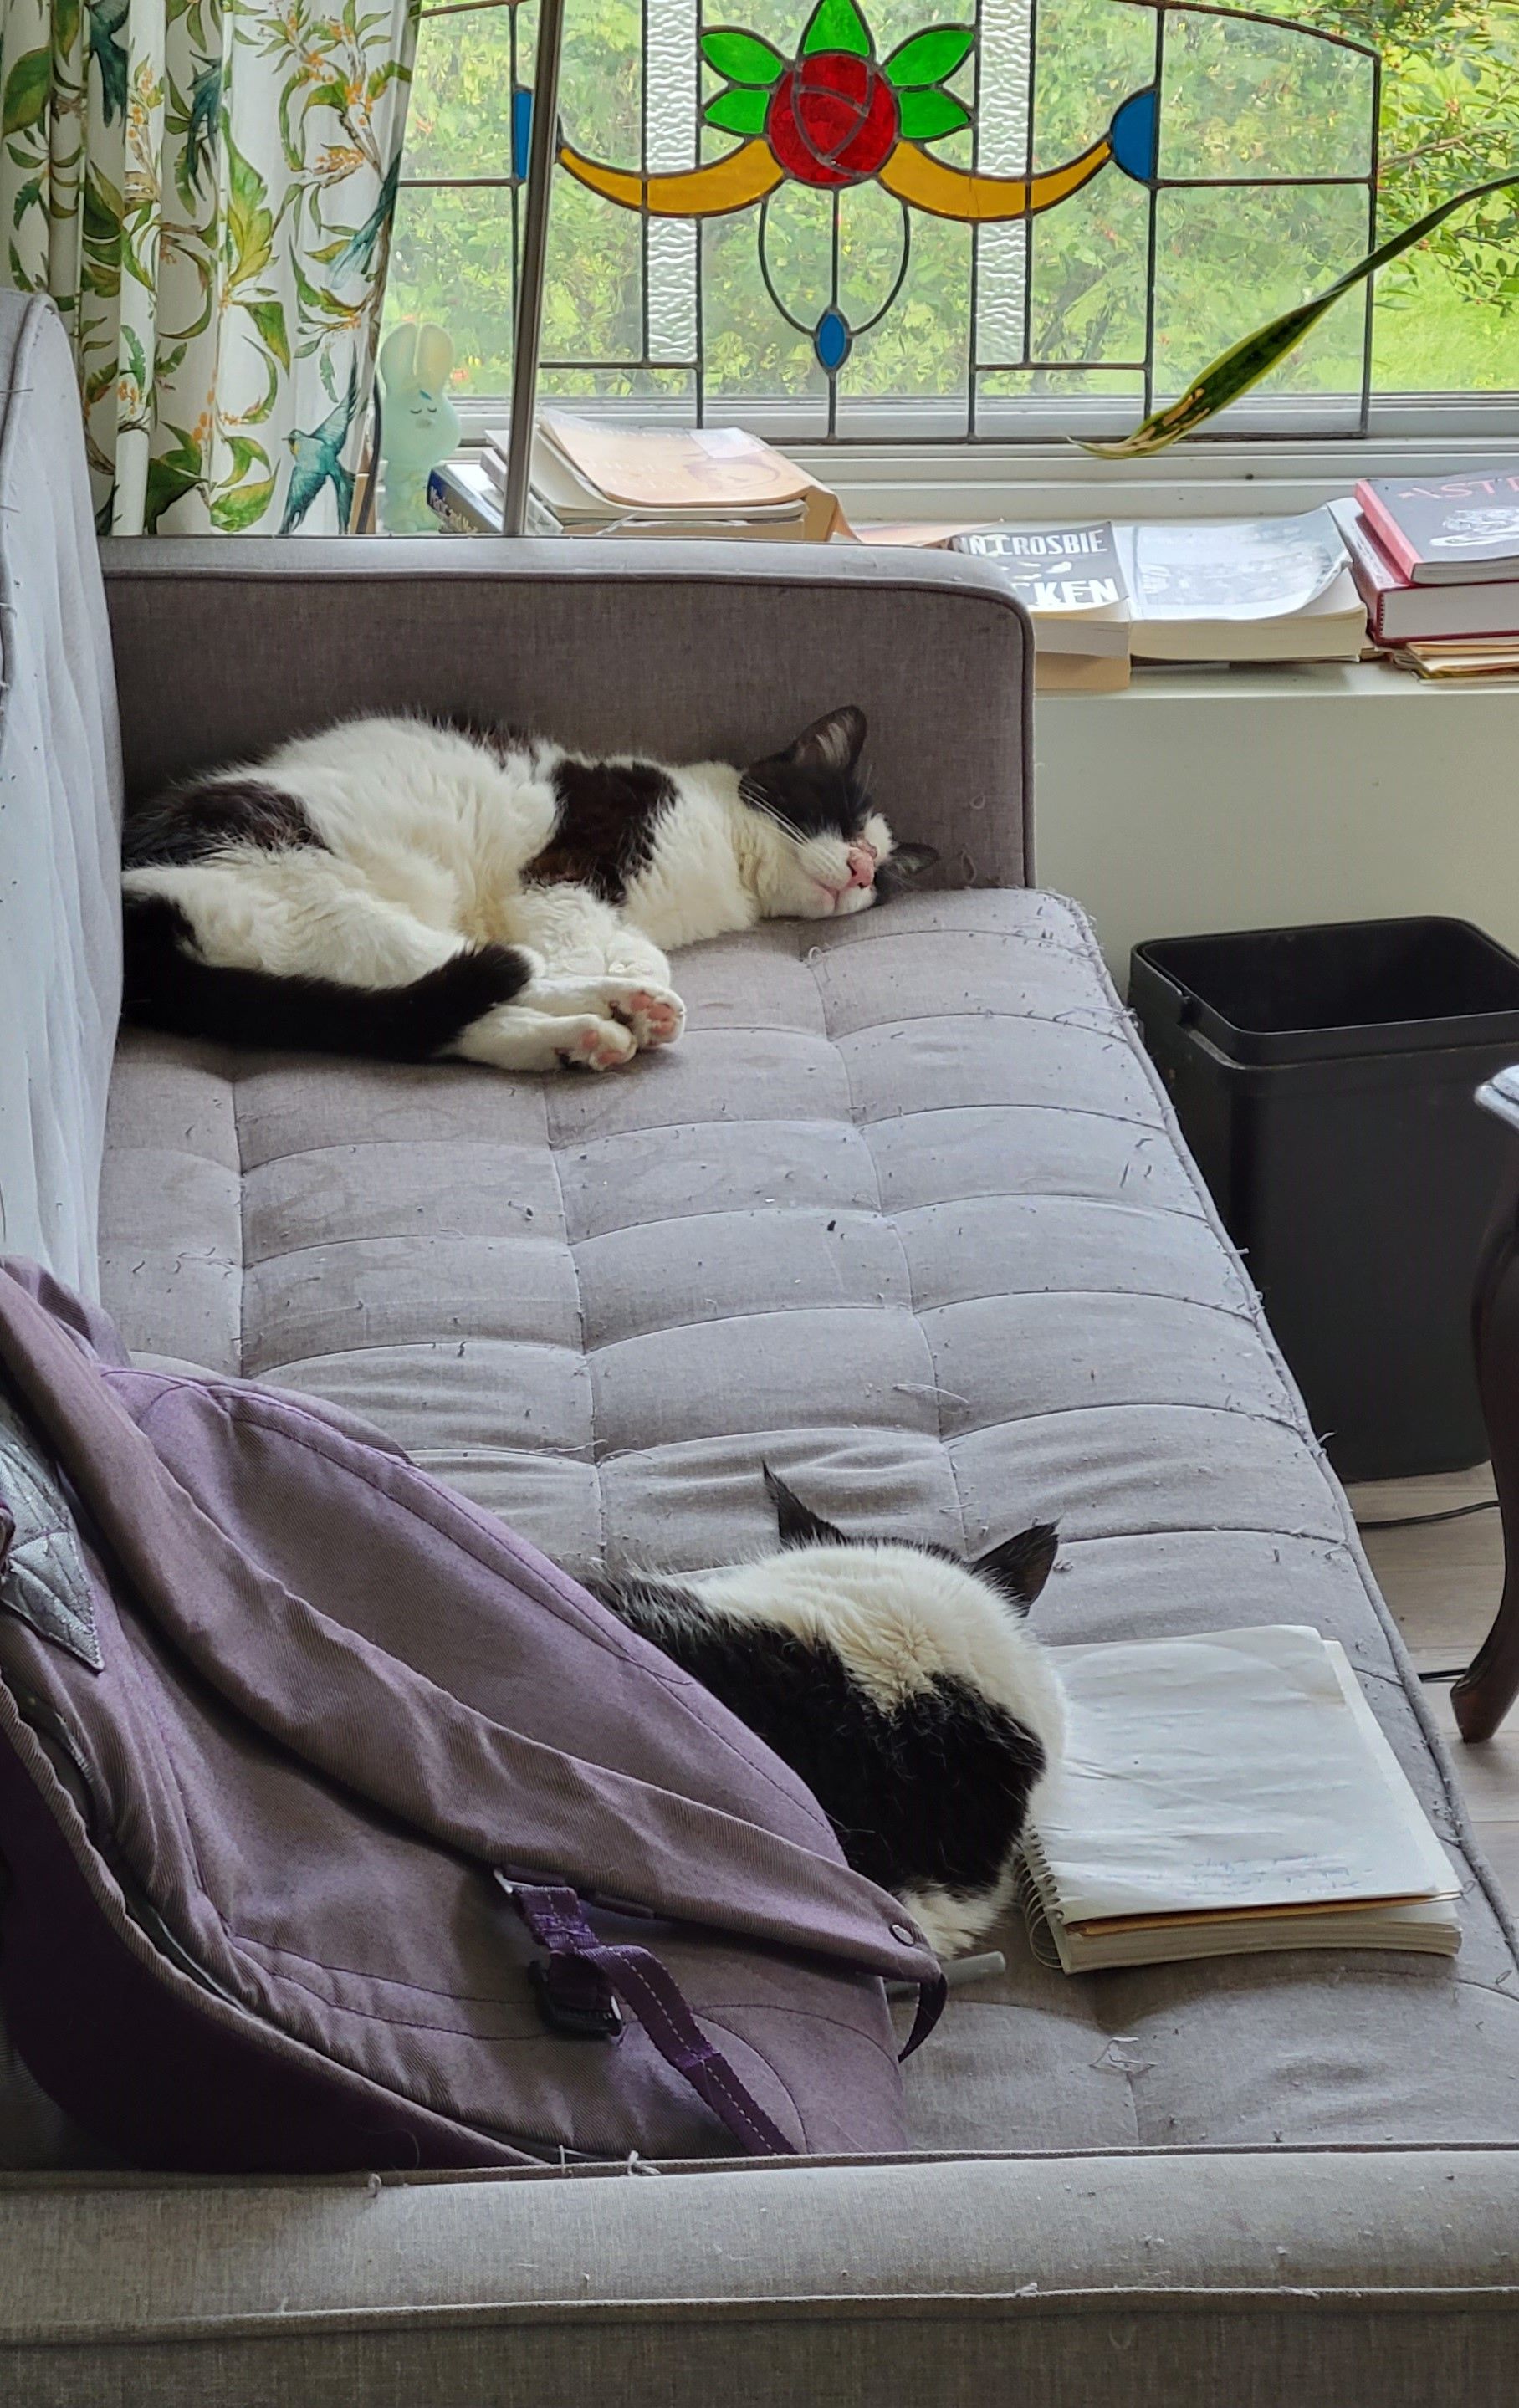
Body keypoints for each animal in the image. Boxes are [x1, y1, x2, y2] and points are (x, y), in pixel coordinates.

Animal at [120, 704, 937, 1073]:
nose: (862, 867)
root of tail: (133, 905)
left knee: (431, 1019)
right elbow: (575, 943)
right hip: (327, 892)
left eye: (884, 874)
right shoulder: (559, 876)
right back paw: (612, 1009)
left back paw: (592, 1033)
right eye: (840, 815)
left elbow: (639, 950)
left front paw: (636, 986)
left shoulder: (623, 916)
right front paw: (628, 987)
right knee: (493, 975)